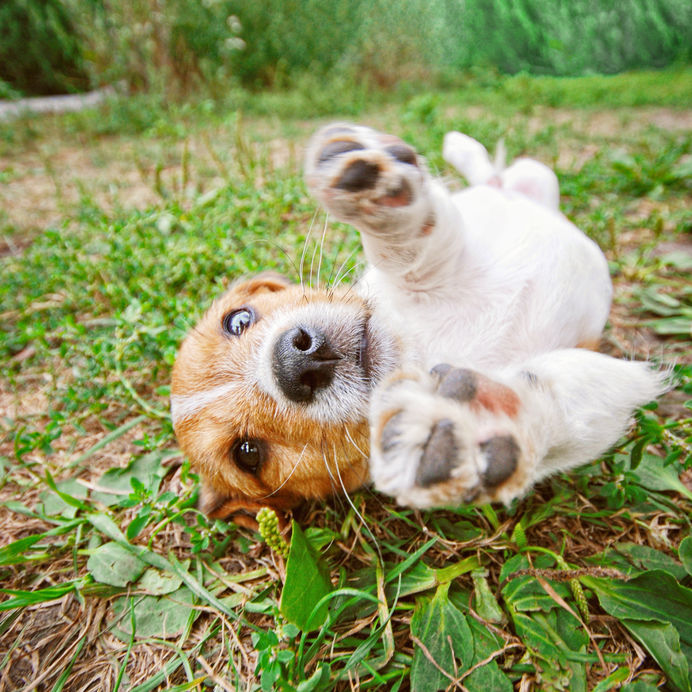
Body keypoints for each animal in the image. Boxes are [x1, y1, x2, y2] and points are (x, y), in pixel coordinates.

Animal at [169, 123, 664, 520]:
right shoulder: (607, 392)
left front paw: (373, 183)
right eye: (248, 454)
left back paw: (450, 148)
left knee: (498, 176)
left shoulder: (440, 254)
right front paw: (473, 423)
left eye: (238, 320)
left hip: (535, 177)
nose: (297, 361)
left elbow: (412, 250)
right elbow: (554, 403)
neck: (418, 345)